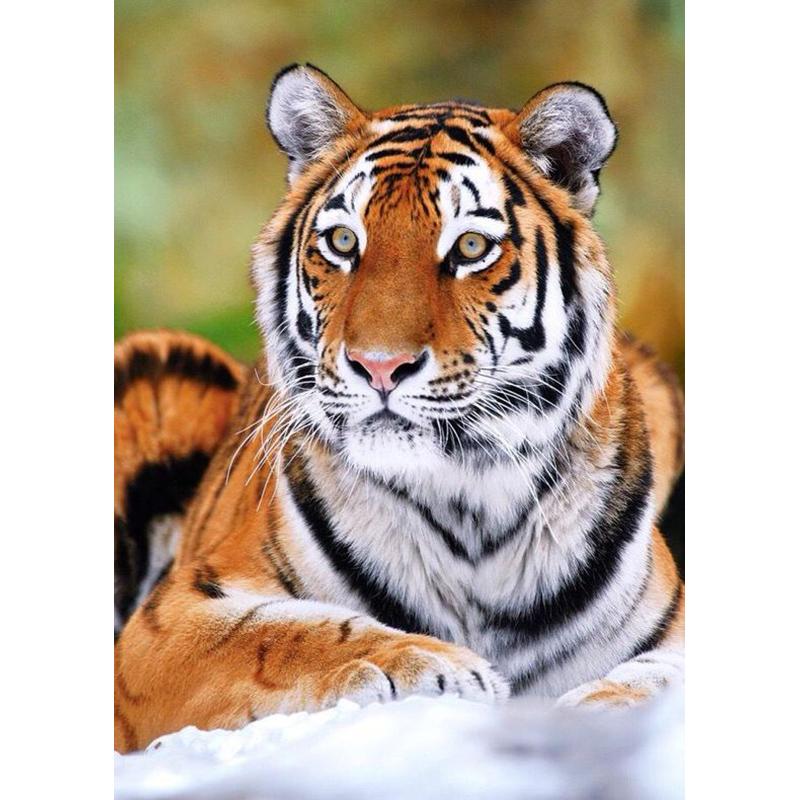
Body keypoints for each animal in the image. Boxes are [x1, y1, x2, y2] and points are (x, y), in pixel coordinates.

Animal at [114, 63, 684, 753]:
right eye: (342, 241)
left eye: (470, 247)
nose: (379, 366)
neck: (472, 503)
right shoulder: (166, 623)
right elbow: (280, 634)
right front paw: (432, 662)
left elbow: (662, 677)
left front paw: (597, 708)